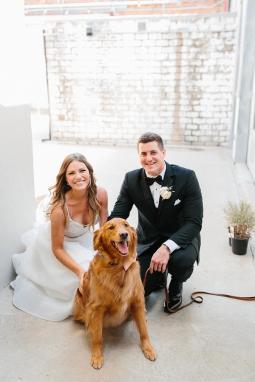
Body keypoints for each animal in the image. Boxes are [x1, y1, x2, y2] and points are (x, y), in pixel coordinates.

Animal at [73, 218, 156, 370]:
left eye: (126, 225)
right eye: (111, 227)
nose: (124, 235)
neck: (119, 267)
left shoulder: (137, 301)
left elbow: (144, 330)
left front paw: (148, 348)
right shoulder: (96, 308)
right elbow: (97, 336)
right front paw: (97, 356)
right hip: (79, 296)